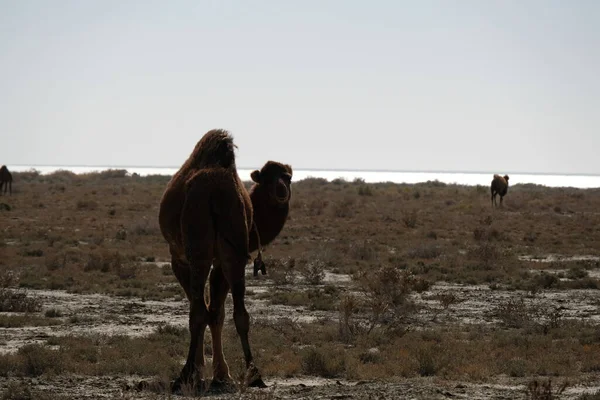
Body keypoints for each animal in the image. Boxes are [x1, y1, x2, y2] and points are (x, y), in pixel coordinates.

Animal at [157, 129, 292, 394]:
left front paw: (207, 372)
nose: (282, 189)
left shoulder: (181, 259)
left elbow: (206, 310)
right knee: (239, 313)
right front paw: (218, 374)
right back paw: (255, 375)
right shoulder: (220, 259)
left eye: (288, 177)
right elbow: (216, 312)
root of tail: (215, 192)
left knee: (199, 311)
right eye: (267, 178)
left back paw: (184, 375)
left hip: (199, 247)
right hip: (232, 248)